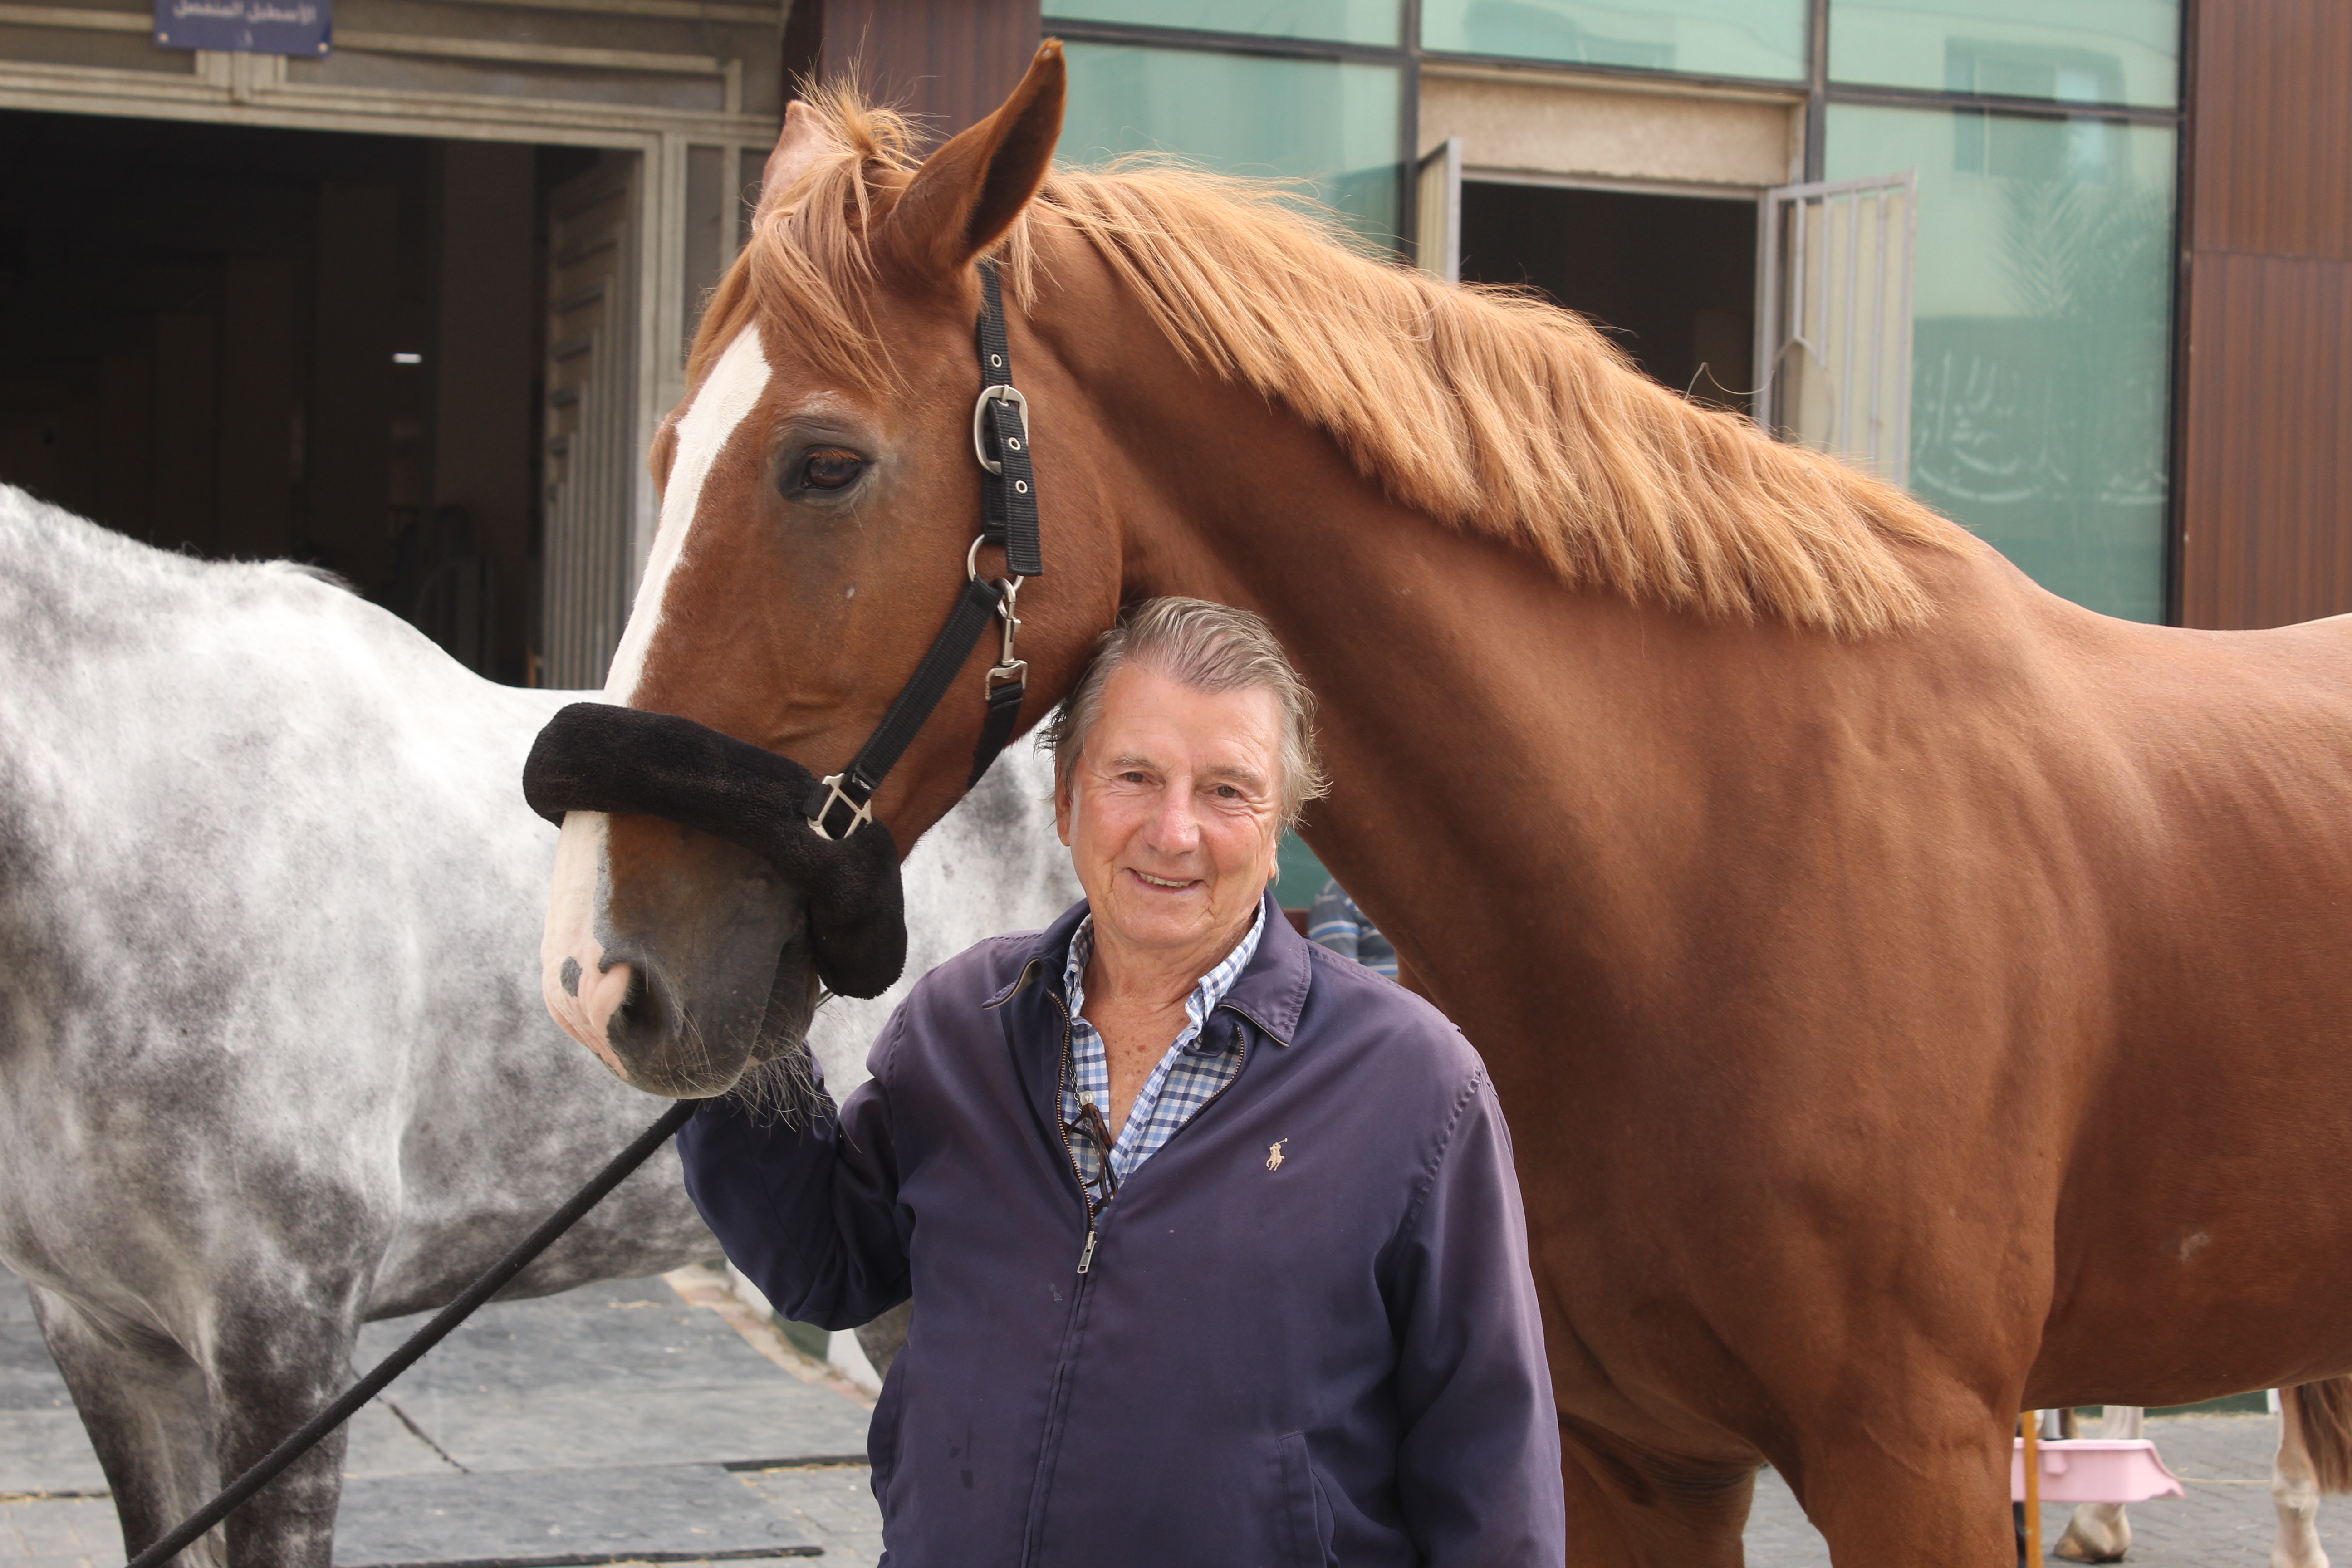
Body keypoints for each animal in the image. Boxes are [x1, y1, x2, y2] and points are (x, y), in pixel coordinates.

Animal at [531, 46, 2352, 1566]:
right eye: (668, 454)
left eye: (825, 464)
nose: (598, 971)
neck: (1717, 870)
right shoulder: (1637, 1458)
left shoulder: (1923, 1462)